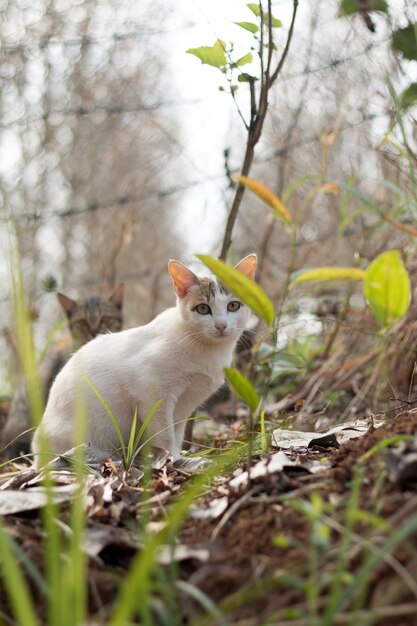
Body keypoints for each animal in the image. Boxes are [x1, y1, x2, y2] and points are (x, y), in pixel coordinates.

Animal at [32, 254, 255, 468]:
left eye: (233, 305)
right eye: (202, 309)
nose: (221, 325)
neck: (207, 350)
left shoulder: (184, 406)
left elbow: (176, 435)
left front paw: (181, 459)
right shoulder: (152, 395)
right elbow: (165, 437)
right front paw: (174, 462)